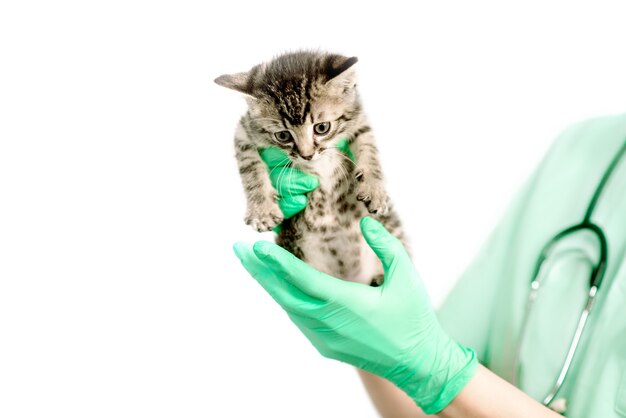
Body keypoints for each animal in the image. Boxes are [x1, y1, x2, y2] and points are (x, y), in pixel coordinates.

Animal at [217, 50, 408, 286]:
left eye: (322, 128)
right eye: (283, 135)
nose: (307, 155)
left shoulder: (359, 119)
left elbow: (369, 150)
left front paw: (375, 189)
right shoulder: (244, 131)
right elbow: (249, 166)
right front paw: (262, 210)